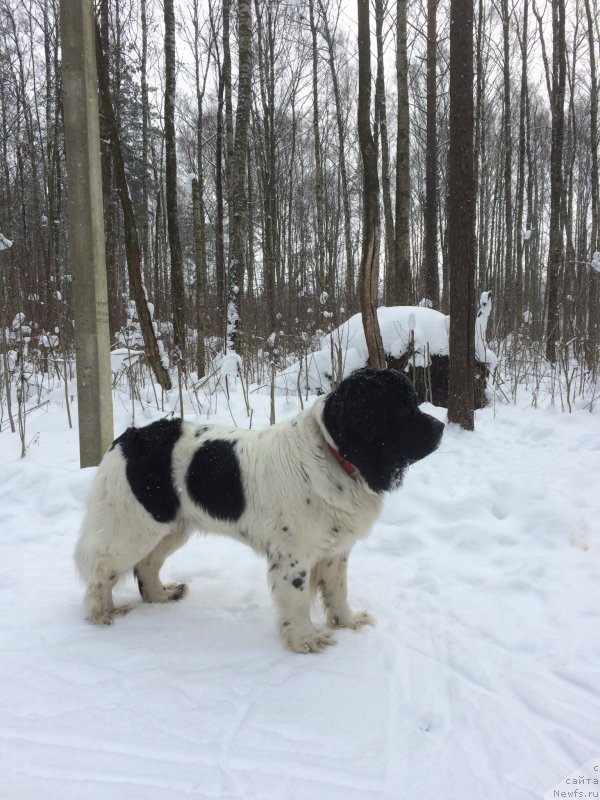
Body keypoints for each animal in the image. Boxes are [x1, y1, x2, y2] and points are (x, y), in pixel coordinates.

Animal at [75, 368, 442, 648]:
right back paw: (101, 614)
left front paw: (348, 622)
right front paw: (306, 640)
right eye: (403, 408)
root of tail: (127, 438)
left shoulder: (334, 550)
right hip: (133, 526)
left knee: (147, 564)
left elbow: (338, 590)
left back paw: (160, 598)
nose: (440, 427)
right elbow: (296, 599)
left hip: (171, 527)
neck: (334, 454)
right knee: (102, 569)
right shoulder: (294, 554)